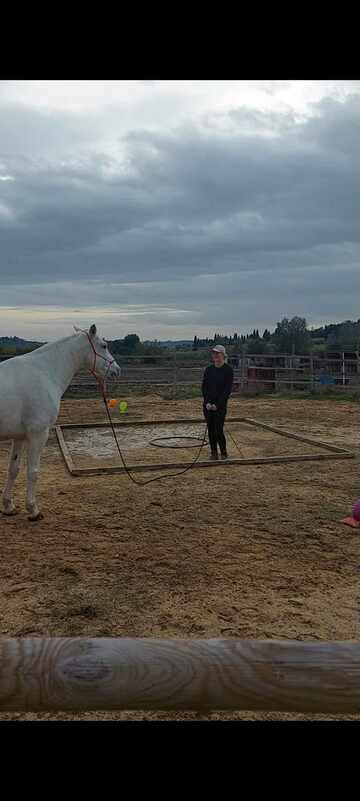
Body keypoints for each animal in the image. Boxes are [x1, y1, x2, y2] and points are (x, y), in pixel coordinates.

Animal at [0, 322, 121, 520]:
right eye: (104, 345)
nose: (117, 370)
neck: (45, 372)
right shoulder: (38, 434)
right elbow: (33, 471)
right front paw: (33, 509)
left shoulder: (19, 437)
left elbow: (13, 469)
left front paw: (8, 506)